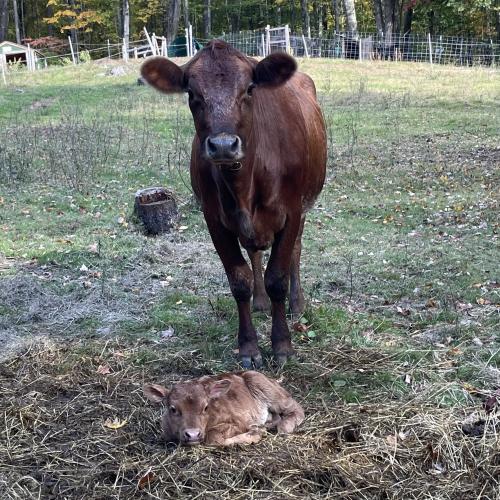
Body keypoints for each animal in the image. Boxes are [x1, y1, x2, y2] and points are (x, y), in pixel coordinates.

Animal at [142, 40, 328, 368]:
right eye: (192, 93)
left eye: (250, 88)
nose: (223, 146)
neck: (244, 184)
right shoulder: (214, 219)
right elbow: (239, 280)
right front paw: (249, 347)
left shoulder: (292, 211)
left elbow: (277, 276)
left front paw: (282, 345)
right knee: (254, 252)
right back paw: (260, 301)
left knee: (295, 249)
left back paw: (297, 303)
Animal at [143, 372, 302, 446]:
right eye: (173, 409)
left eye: (206, 407)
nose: (193, 435)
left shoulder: (238, 422)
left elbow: (213, 437)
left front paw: (254, 434)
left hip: (266, 388)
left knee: (296, 408)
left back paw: (284, 426)